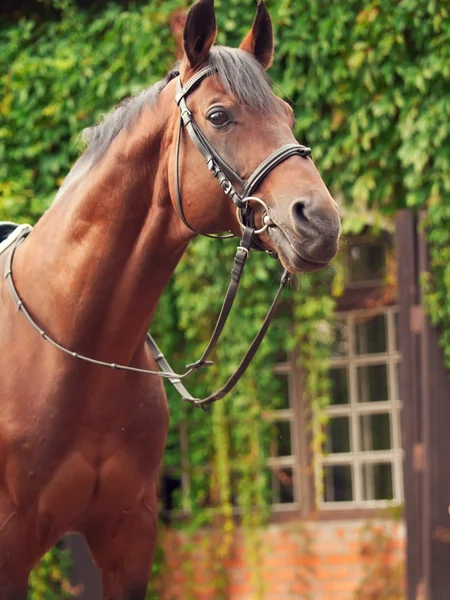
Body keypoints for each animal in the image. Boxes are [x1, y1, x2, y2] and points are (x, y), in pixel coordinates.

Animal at [0, 1, 340, 596]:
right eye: (219, 116)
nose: (319, 221)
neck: (72, 352)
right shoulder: (10, 550)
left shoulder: (131, 544)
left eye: (288, 112)